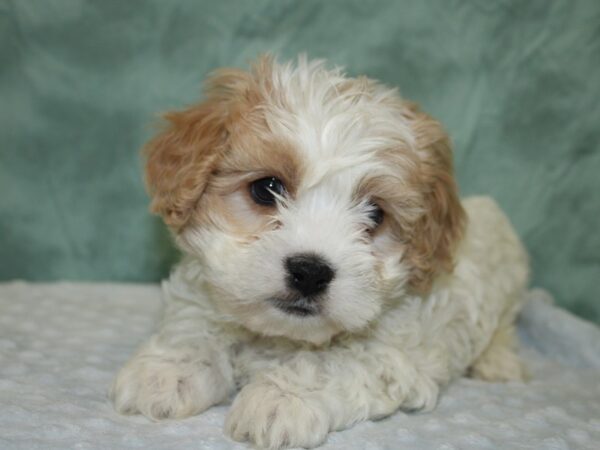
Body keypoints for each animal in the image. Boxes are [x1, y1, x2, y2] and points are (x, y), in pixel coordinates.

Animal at [110, 56, 528, 450]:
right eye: (267, 188)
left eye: (375, 214)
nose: (310, 272)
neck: (281, 336)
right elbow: (193, 323)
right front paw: (167, 370)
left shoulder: (395, 351)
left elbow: (332, 363)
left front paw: (281, 397)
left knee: (502, 327)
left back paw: (498, 362)